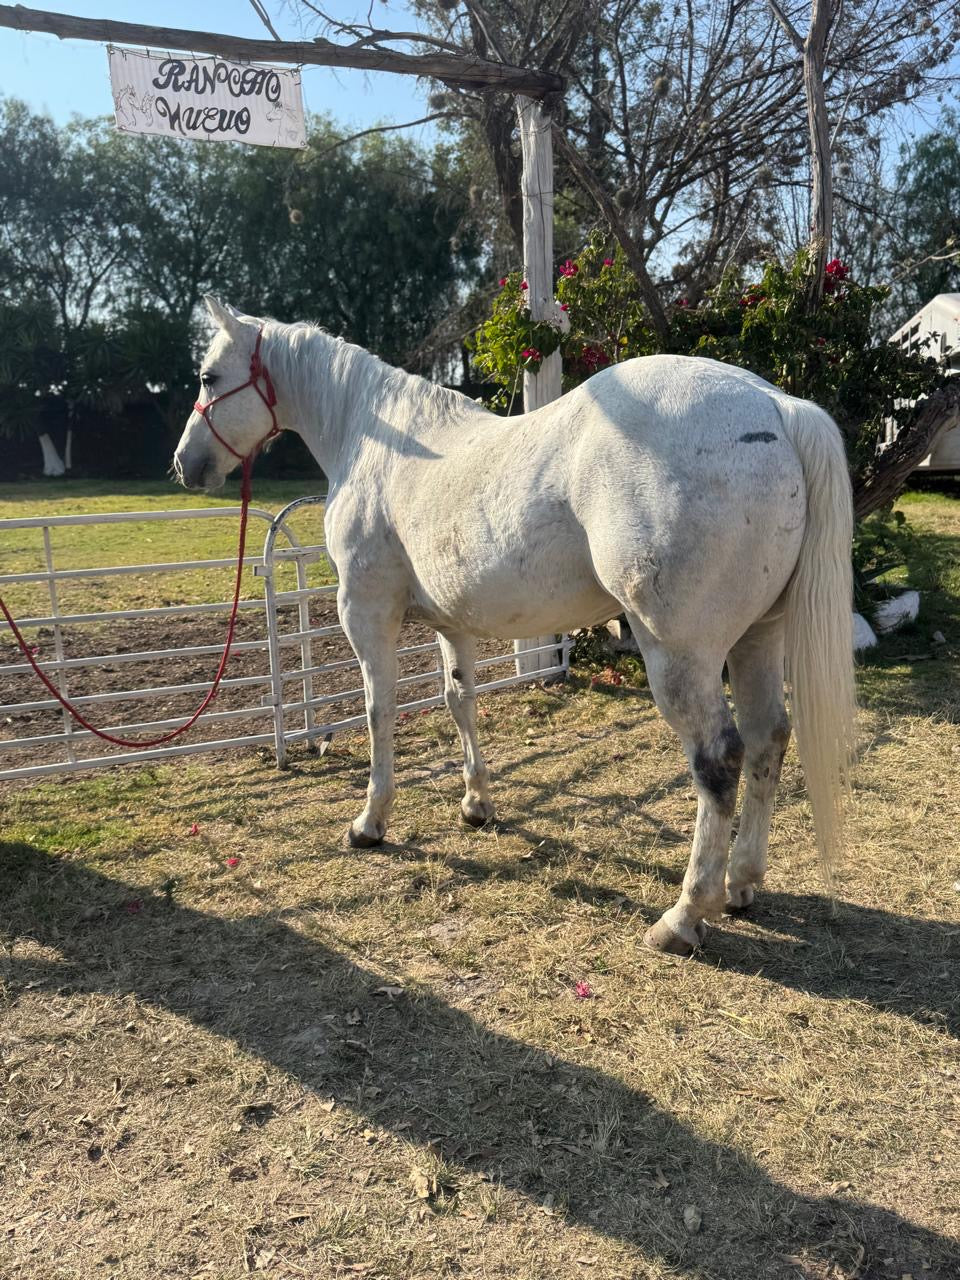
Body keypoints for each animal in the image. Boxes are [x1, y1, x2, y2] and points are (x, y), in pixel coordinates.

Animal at [173, 297, 856, 956]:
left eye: (209, 376)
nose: (185, 464)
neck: (378, 445)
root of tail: (777, 405)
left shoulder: (366, 614)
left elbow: (378, 710)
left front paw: (371, 822)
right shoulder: (451, 623)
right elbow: (460, 701)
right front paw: (476, 803)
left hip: (681, 654)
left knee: (719, 759)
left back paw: (684, 916)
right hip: (757, 639)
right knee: (768, 739)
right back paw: (741, 883)